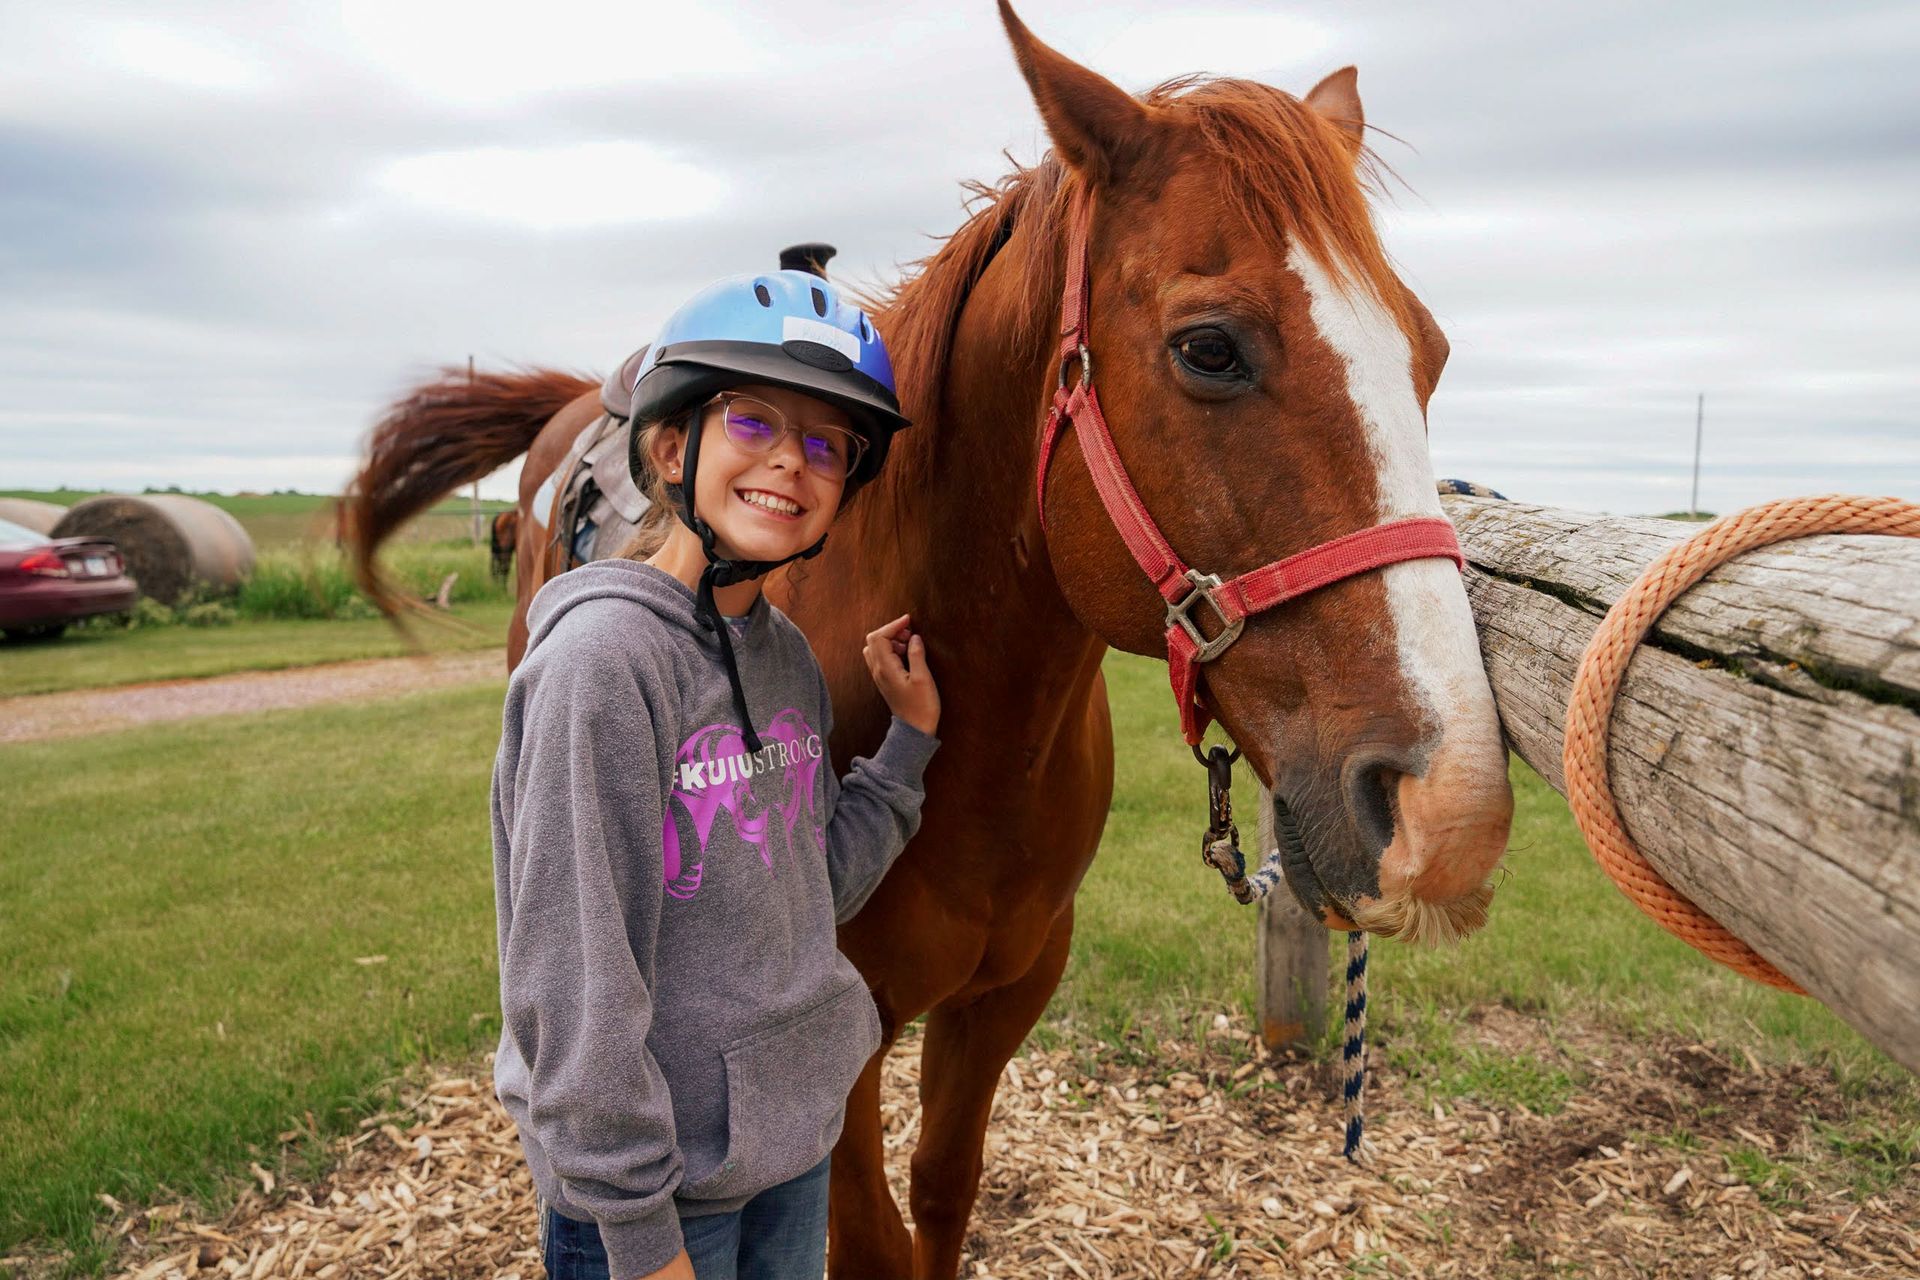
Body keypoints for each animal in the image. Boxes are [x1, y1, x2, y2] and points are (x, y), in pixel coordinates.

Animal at [343, 5, 1514, 1275]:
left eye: (1431, 353)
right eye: (1210, 348)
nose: (1451, 814)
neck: (979, 747)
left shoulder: (1002, 998)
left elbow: (944, 1192)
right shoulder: (838, 1036)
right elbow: (867, 1234)